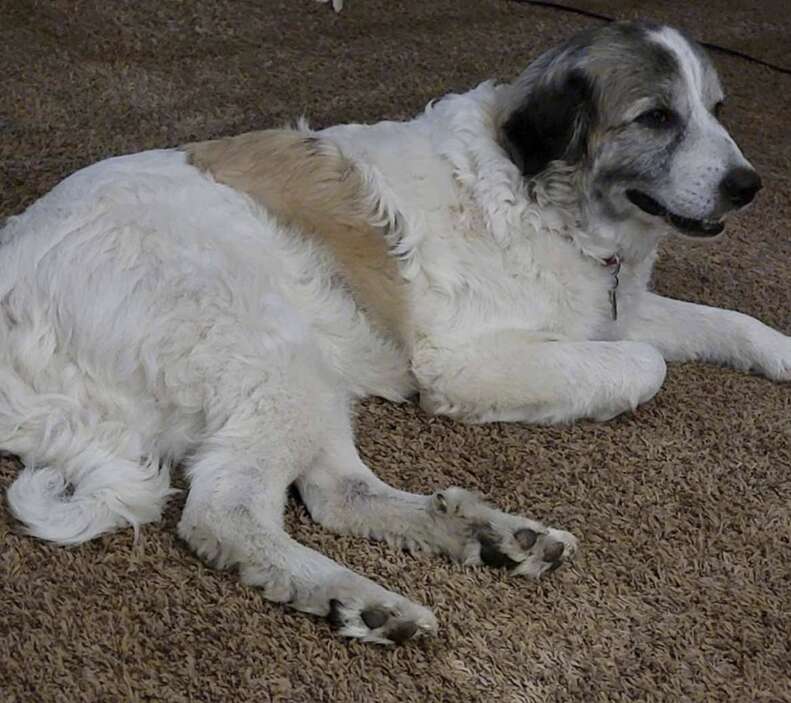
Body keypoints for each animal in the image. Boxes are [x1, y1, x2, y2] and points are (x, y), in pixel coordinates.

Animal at [1, 20, 784, 644]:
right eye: (656, 117)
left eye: (716, 110)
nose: (749, 186)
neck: (542, 195)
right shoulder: (461, 361)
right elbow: (645, 364)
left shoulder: (616, 305)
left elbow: (723, 322)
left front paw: (778, 350)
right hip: (266, 345)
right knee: (225, 513)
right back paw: (359, 597)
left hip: (303, 369)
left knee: (335, 493)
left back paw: (486, 536)